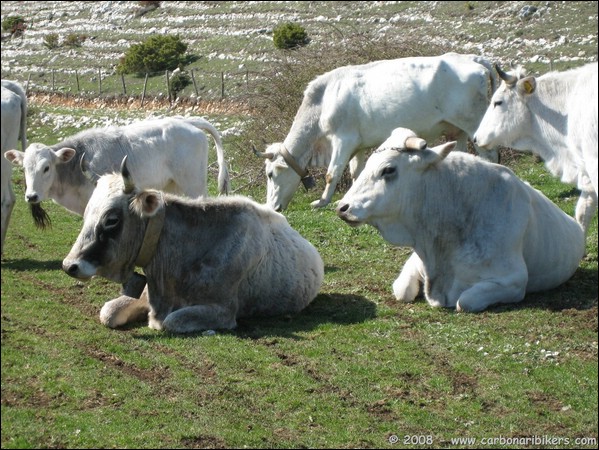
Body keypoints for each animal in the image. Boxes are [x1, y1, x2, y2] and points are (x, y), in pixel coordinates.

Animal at [61, 158, 326, 334]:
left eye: (112, 220)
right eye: (87, 212)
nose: (69, 265)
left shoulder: (222, 311)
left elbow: (171, 322)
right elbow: (108, 312)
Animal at [254, 53, 502, 213]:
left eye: (270, 174)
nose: (271, 207)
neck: (322, 102)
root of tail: (474, 58)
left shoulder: (343, 140)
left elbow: (332, 173)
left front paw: (322, 202)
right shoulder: (358, 146)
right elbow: (356, 171)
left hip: (474, 122)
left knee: (489, 154)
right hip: (457, 129)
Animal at [338, 127, 584, 312]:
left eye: (388, 169)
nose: (342, 207)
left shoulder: (513, 281)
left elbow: (464, 301)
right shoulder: (416, 260)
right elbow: (402, 291)